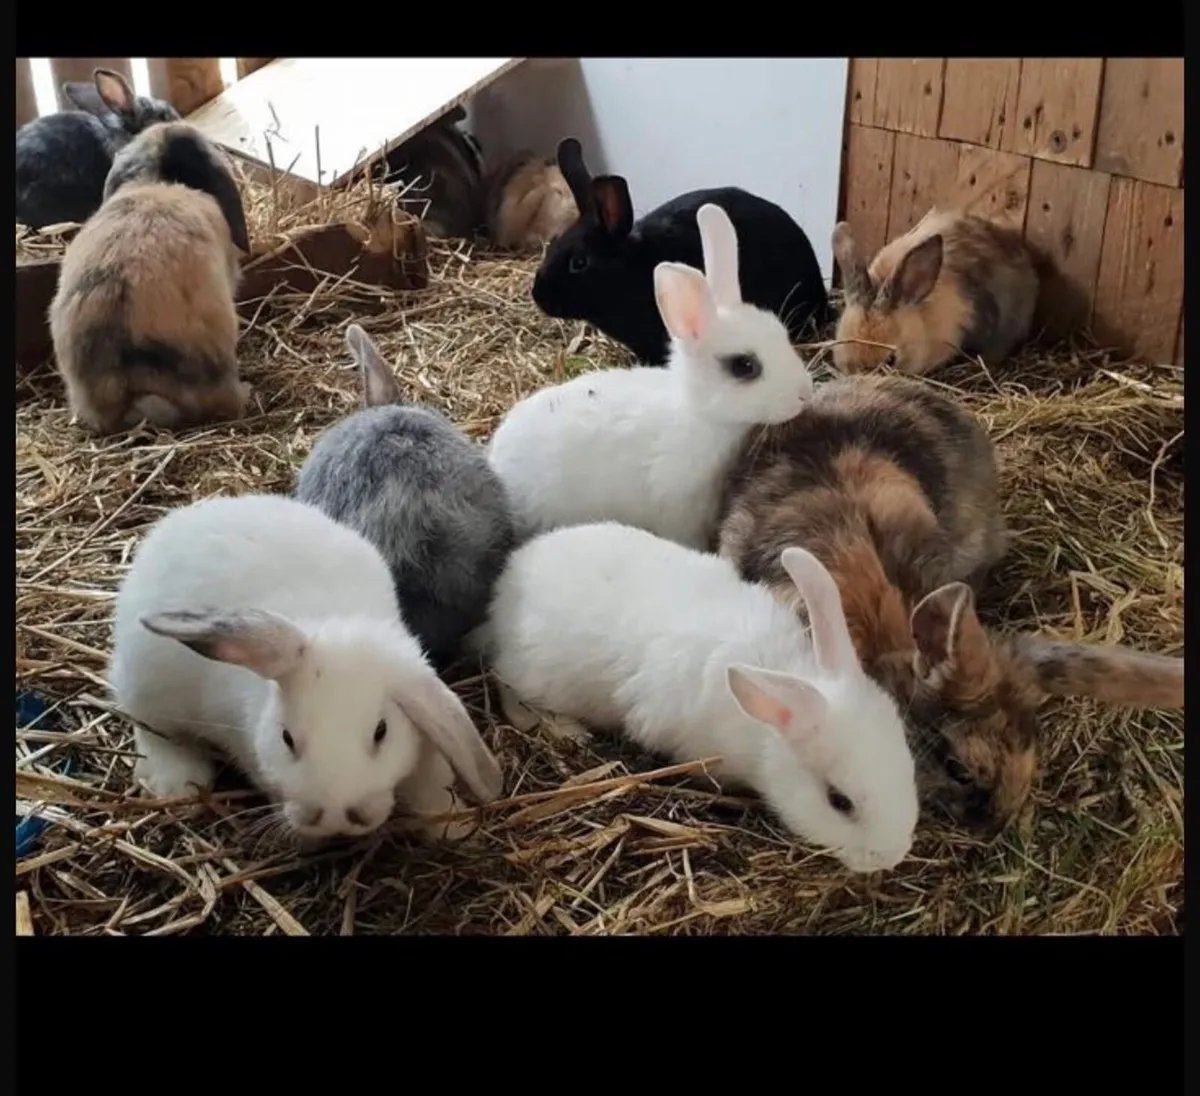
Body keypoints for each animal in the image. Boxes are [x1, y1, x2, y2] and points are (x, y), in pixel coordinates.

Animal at [108, 493, 506, 844]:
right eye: (287, 738)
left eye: (381, 732)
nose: (334, 817)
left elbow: (431, 787)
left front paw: (454, 828)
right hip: (147, 687)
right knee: (152, 730)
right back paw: (177, 781)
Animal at [469, 521, 920, 875]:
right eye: (839, 802)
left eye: (908, 765)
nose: (892, 855)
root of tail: (504, 591)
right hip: (534, 676)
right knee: (510, 694)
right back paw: (567, 730)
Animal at [487, 202, 814, 550]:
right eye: (744, 365)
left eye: (781, 333)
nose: (804, 394)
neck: (699, 414)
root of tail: (494, 458)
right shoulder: (679, 509)